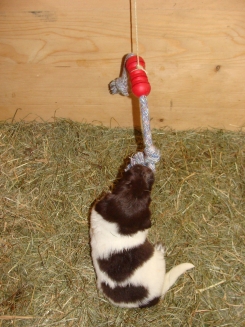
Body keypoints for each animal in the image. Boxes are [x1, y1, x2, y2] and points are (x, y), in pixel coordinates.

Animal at [89, 165, 194, 308]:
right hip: (158, 262)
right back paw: (160, 249)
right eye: (147, 196)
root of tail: (151, 299)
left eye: (128, 184)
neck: (118, 225)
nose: (143, 169)